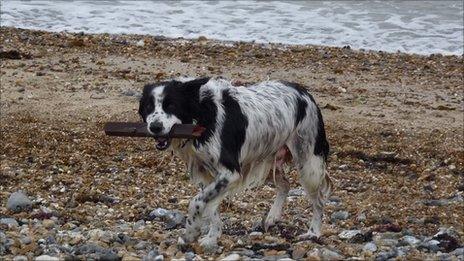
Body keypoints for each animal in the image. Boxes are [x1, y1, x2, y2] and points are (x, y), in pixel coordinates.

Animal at [136, 76, 332, 251]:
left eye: (171, 105)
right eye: (148, 107)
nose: (155, 127)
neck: (202, 113)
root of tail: (304, 92)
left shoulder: (230, 173)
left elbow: (196, 202)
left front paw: (190, 233)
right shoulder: (208, 175)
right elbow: (211, 208)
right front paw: (212, 238)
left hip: (309, 164)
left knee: (319, 201)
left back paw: (313, 232)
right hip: (264, 160)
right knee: (285, 184)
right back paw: (273, 217)